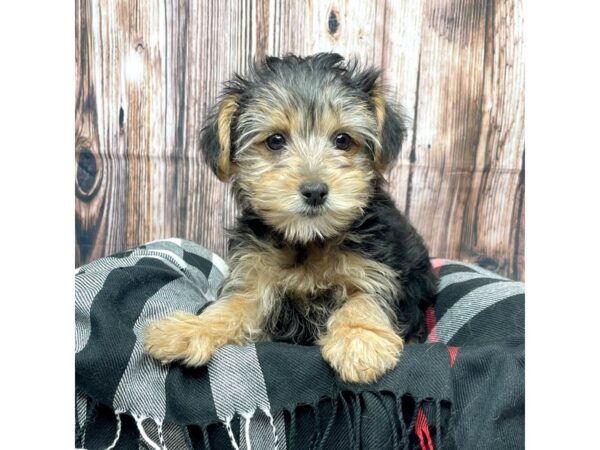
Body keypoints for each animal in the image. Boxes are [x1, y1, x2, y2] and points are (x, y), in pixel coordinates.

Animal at [145, 52, 436, 384]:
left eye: (343, 140)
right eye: (275, 141)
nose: (315, 191)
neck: (308, 239)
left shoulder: (378, 270)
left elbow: (365, 299)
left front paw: (358, 340)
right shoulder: (255, 277)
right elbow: (232, 306)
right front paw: (192, 328)